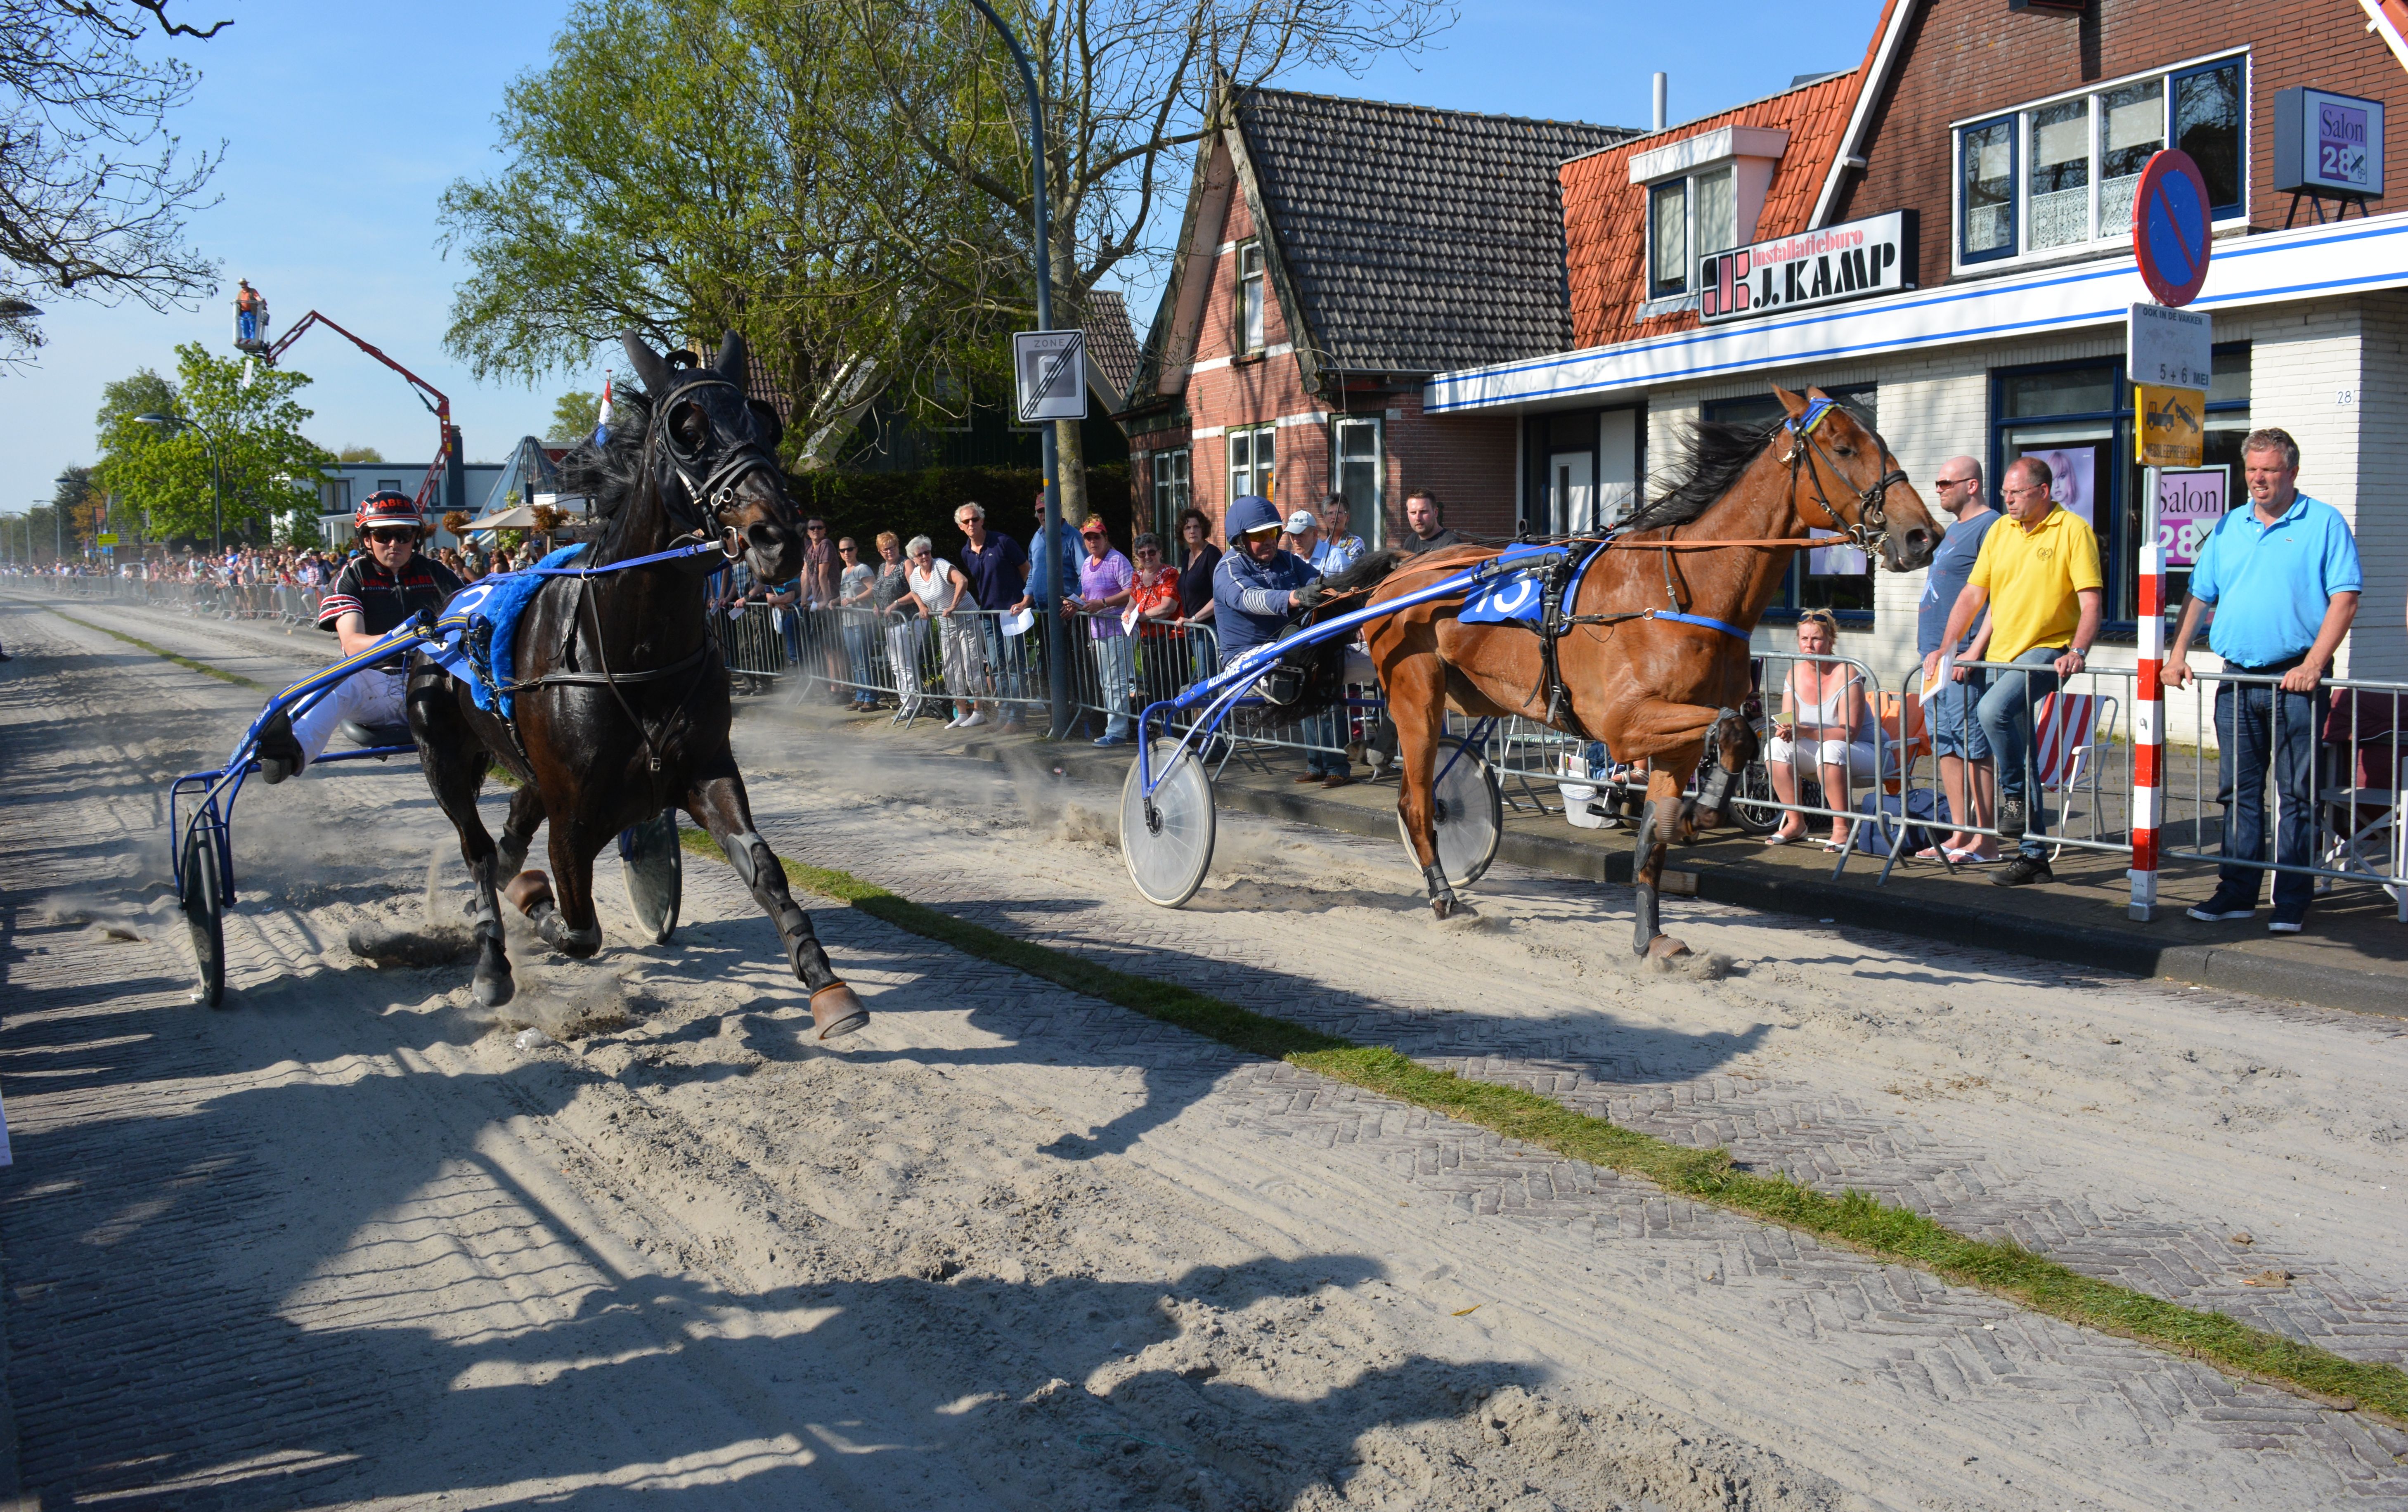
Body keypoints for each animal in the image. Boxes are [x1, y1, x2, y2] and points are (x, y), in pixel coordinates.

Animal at [406, 330, 870, 1039]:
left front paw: (825, 980)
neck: (628, 644)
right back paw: (492, 956)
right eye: (688, 431)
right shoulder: (573, 816)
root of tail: (442, 605)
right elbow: (580, 929)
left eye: (765, 423)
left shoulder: (706, 768)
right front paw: (534, 910)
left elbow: (762, 866)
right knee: (476, 846)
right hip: (442, 755)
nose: (779, 538)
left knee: (511, 823)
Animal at [1329, 386, 1941, 959]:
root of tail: (1402, 568)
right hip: (1418, 694)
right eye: (1843, 448)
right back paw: (1443, 894)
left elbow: (1671, 815)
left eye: (1880, 442)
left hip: (1466, 694)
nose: (1923, 535)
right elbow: (1734, 728)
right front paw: (1702, 811)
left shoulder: (1676, 740)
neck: (1681, 591)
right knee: (1415, 802)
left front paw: (1653, 934)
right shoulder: (1625, 724)